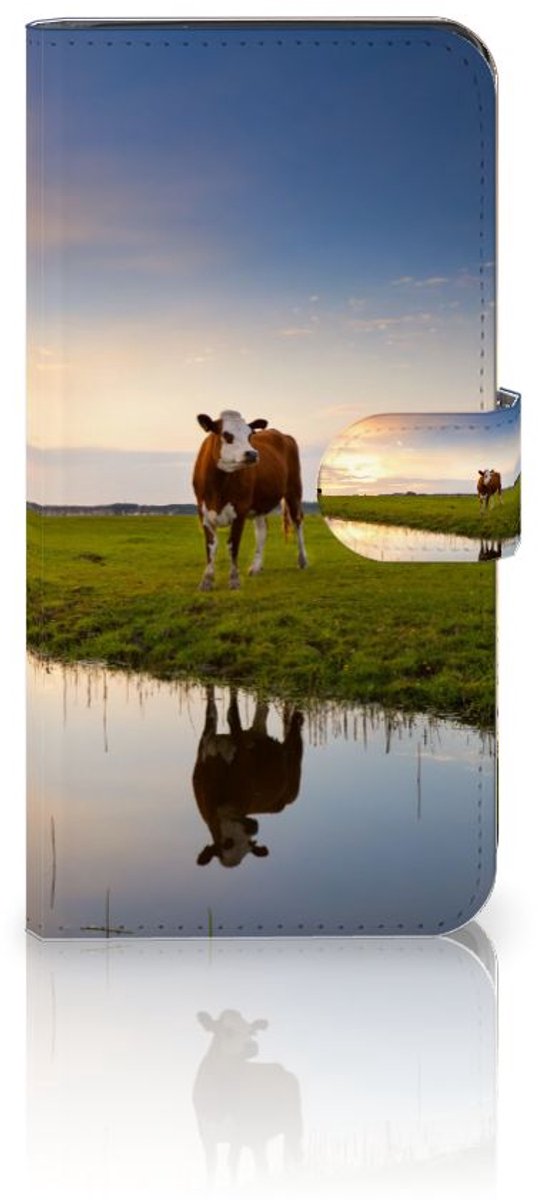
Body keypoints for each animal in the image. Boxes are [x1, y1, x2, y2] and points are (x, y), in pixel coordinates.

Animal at [192, 410, 307, 590]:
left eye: (250, 435)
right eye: (226, 435)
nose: (252, 454)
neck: (218, 487)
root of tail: (282, 434)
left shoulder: (240, 510)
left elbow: (233, 544)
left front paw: (234, 580)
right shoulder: (203, 511)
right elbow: (210, 546)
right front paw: (207, 581)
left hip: (294, 490)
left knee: (298, 521)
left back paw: (302, 560)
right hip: (259, 504)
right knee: (262, 530)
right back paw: (256, 567)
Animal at [192, 686, 304, 869]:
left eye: (249, 844)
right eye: (227, 843)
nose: (254, 827)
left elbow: (232, 714)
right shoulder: (206, 742)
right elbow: (212, 709)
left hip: (294, 769)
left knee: (292, 733)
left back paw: (297, 717)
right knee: (262, 711)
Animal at [193, 1009, 303, 1182]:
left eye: (251, 1031)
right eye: (228, 1030)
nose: (252, 1045)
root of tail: (281, 1068)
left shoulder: (238, 1134)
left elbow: (232, 1165)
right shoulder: (206, 1136)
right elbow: (211, 1168)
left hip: (295, 1126)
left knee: (295, 1158)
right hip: (258, 1137)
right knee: (263, 1165)